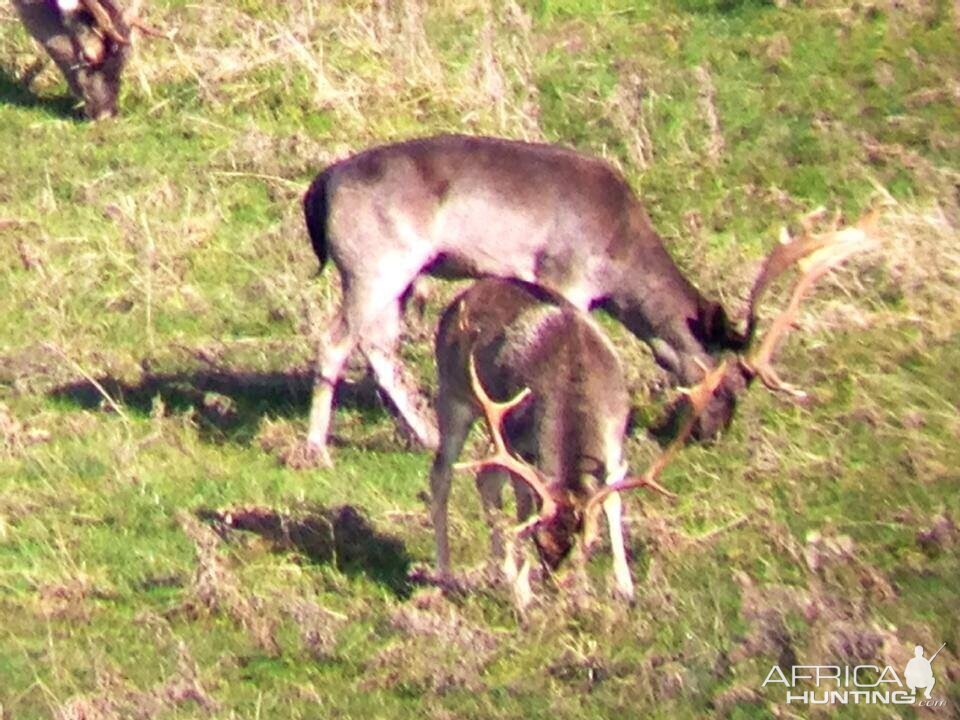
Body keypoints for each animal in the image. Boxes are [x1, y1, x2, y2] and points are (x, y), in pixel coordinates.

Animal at [428, 215, 876, 608]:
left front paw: (624, 588)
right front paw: (522, 593)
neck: (573, 384)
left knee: (485, 479)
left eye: (586, 544)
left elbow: (612, 500)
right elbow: (522, 505)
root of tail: (459, 301)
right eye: (541, 541)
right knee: (444, 474)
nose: (557, 580)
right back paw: (448, 576)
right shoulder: (522, 443)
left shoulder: (613, 440)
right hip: (454, 395)